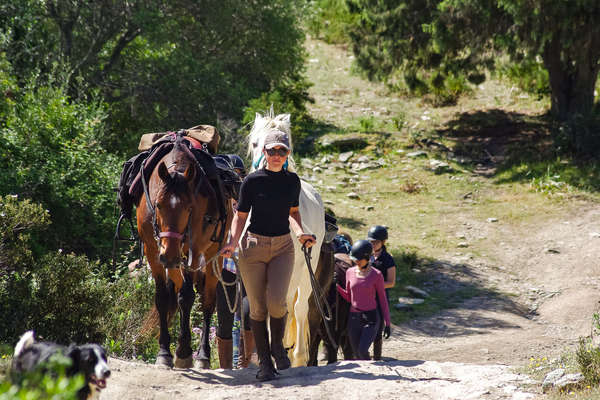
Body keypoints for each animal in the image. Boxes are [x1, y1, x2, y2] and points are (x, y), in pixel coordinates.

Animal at [136, 135, 230, 368]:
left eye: (189, 208)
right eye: (158, 205)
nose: (169, 255)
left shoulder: (192, 251)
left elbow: (188, 297)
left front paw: (184, 351)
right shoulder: (153, 251)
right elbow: (163, 297)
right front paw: (164, 352)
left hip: (213, 255)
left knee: (207, 301)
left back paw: (203, 355)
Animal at [247, 111, 326, 366]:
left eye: (284, 145)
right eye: (255, 143)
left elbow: (283, 309)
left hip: (306, 271)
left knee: (298, 309)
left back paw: (298, 356)